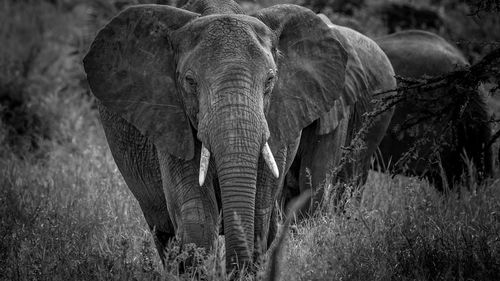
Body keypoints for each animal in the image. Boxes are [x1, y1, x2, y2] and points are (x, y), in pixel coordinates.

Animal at [81, 0, 394, 272]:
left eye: (270, 80)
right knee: (163, 231)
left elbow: (266, 210)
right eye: (189, 81)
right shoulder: (170, 117)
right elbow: (197, 218)